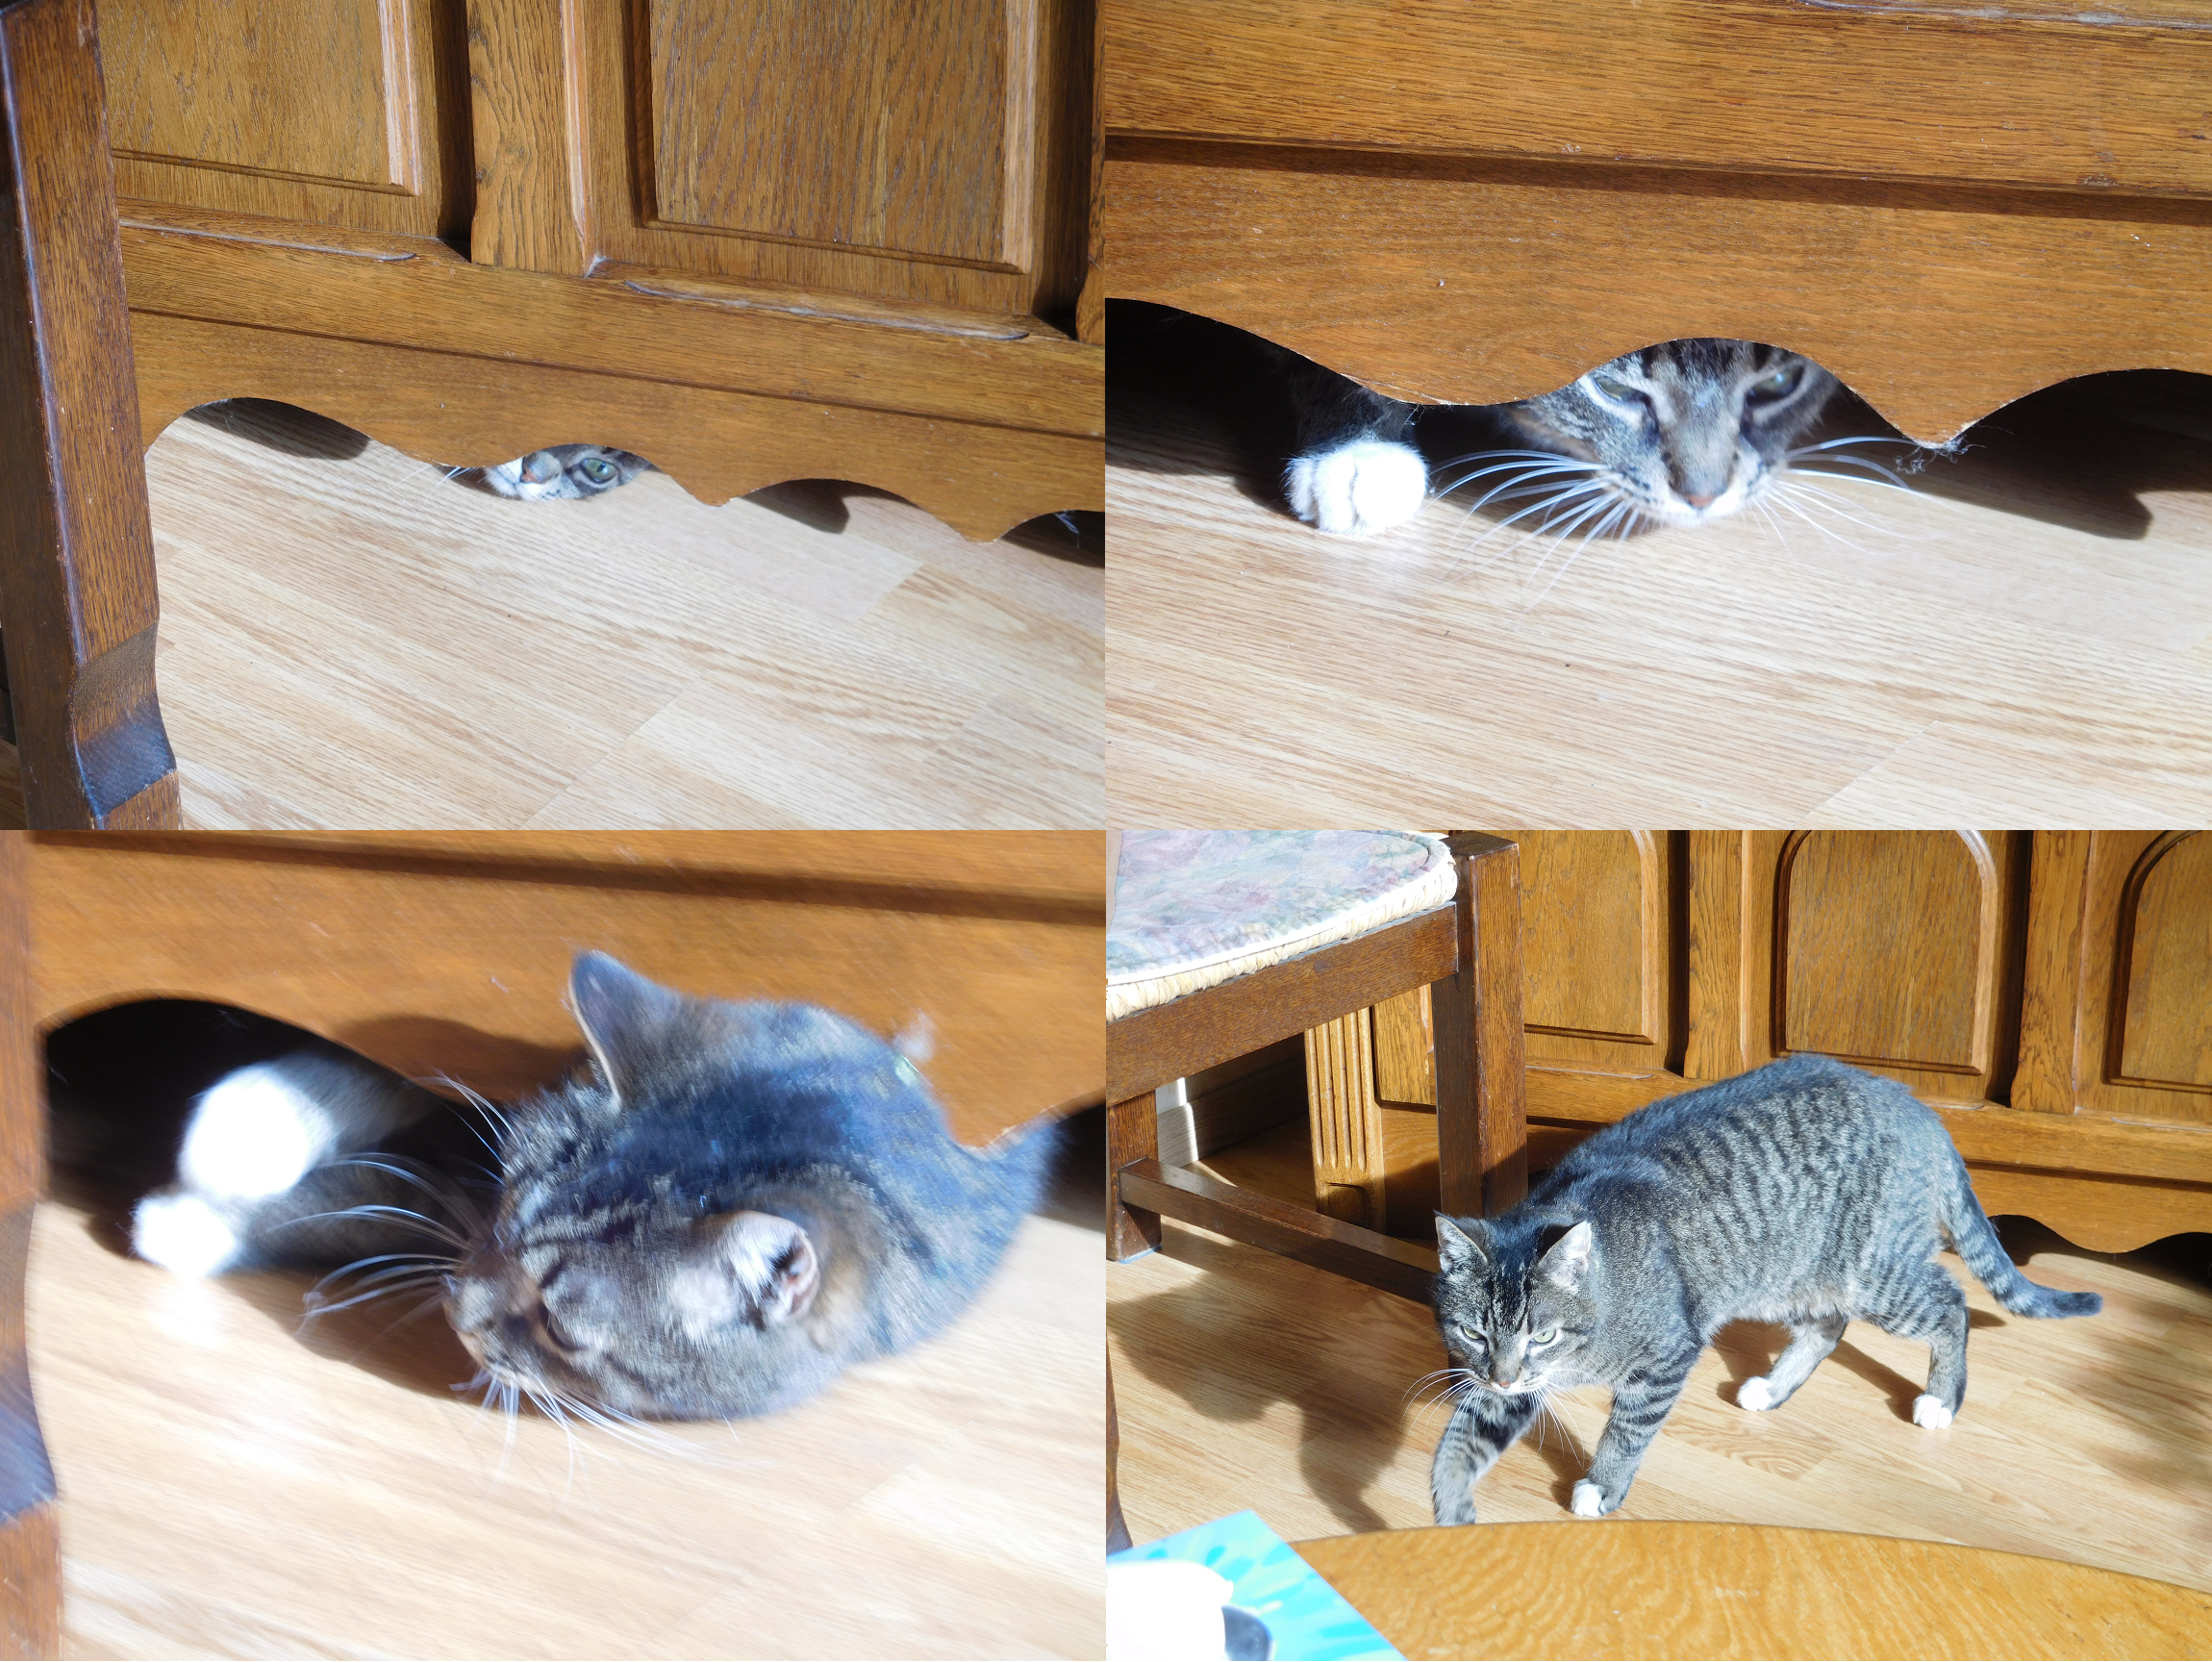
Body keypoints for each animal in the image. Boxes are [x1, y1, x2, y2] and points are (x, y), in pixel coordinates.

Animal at [129, 956, 1052, 1424]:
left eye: (561, 1326)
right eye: (503, 1210)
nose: (456, 1305)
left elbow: (392, 1210)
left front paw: (200, 1218)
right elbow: (382, 1075)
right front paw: (250, 1129)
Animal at [1424, 1057, 2097, 1531]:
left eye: (1542, 1333)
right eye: (1475, 1332)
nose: (1504, 1374)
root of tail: (1916, 1105)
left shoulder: (1665, 1356)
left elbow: (1626, 1431)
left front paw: (1603, 1487)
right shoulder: (1501, 1389)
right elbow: (1459, 1445)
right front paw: (1449, 1511)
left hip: (1875, 1273)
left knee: (1950, 1304)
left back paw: (1941, 1399)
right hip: (1786, 1277)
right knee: (1828, 1327)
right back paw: (1772, 1387)